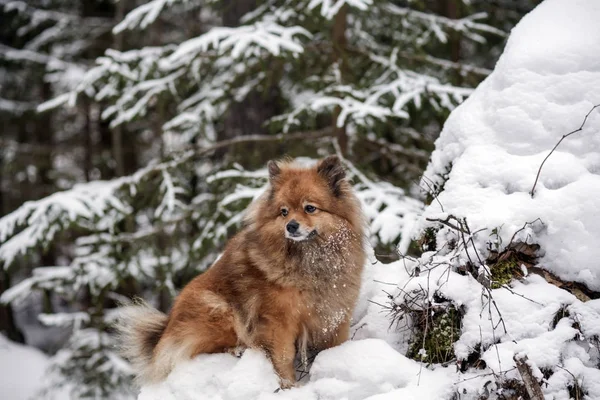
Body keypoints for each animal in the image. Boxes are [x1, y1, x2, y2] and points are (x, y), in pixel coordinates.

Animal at [116, 155, 366, 388]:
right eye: (284, 212)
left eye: (310, 208)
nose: (291, 226)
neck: (310, 260)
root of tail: (165, 327)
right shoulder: (279, 323)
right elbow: (283, 358)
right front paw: (289, 386)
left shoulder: (335, 314)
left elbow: (334, 345)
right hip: (220, 309)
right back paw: (238, 349)